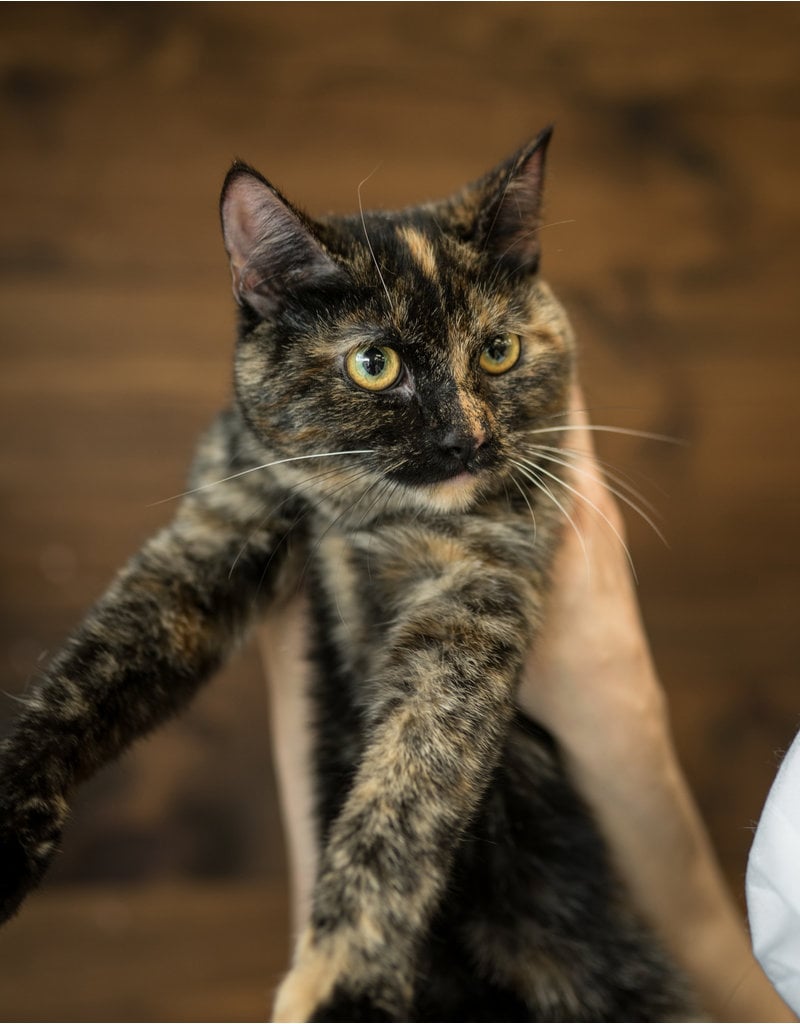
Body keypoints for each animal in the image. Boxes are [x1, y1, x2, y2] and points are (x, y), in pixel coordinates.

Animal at [0, 132, 692, 1019]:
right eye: (374, 363)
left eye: (498, 351)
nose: (470, 439)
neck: (363, 519)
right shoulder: (220, 525)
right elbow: (87, 673)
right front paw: (6, 824)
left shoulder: (473, 604)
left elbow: (408, 789)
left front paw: (342, 985)